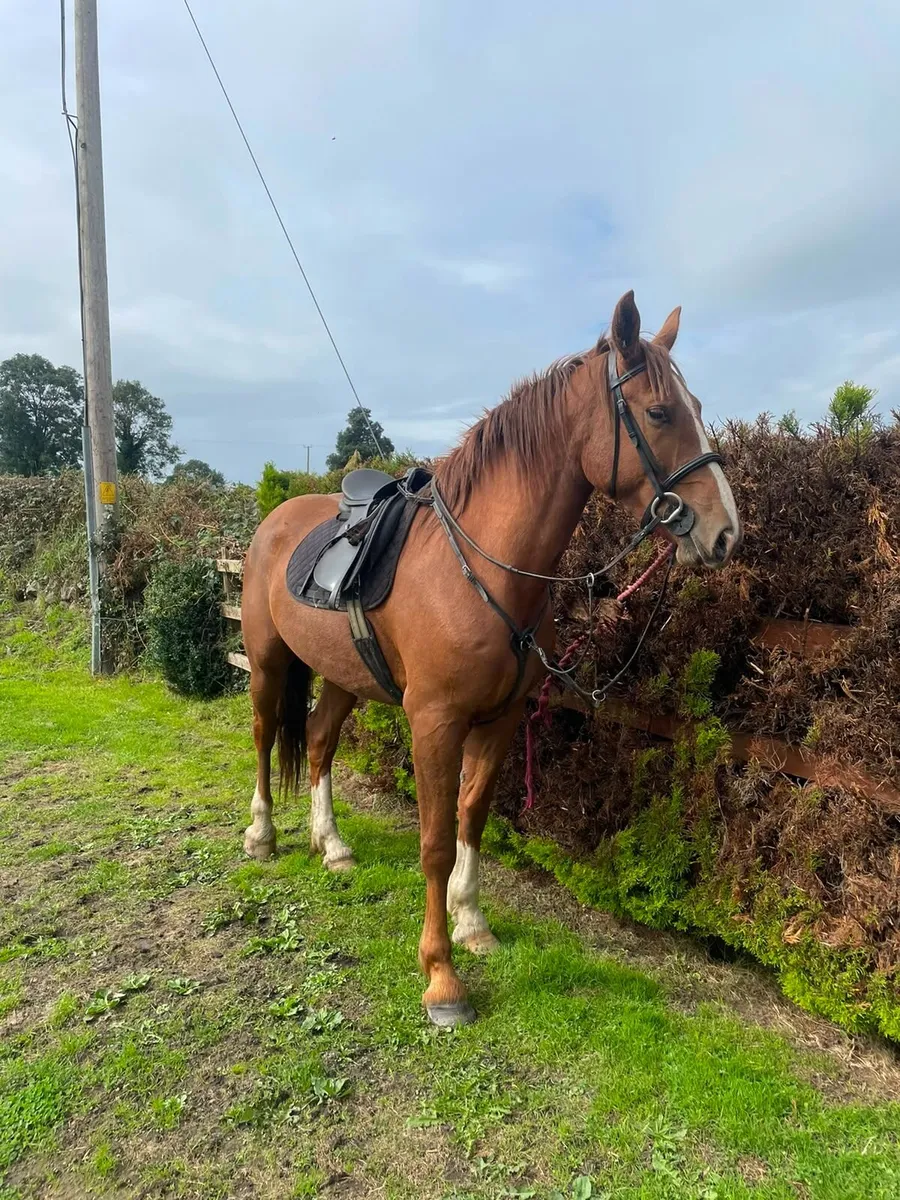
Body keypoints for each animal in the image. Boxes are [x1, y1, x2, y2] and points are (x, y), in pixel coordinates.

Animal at [239, 291, 741, 1027]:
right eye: (658, 412)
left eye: (698, 405)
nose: (725, 532)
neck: (483, 570)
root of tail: (275, 521)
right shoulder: (435, 722)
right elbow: (434, 839)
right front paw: (441, 977)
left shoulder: (501, 721)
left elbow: (472, 817)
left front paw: (473, 924)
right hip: (269, 664)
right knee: (263, 735)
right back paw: (262, 836)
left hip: (343, 676)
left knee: (321, 741)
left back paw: (330, 844)